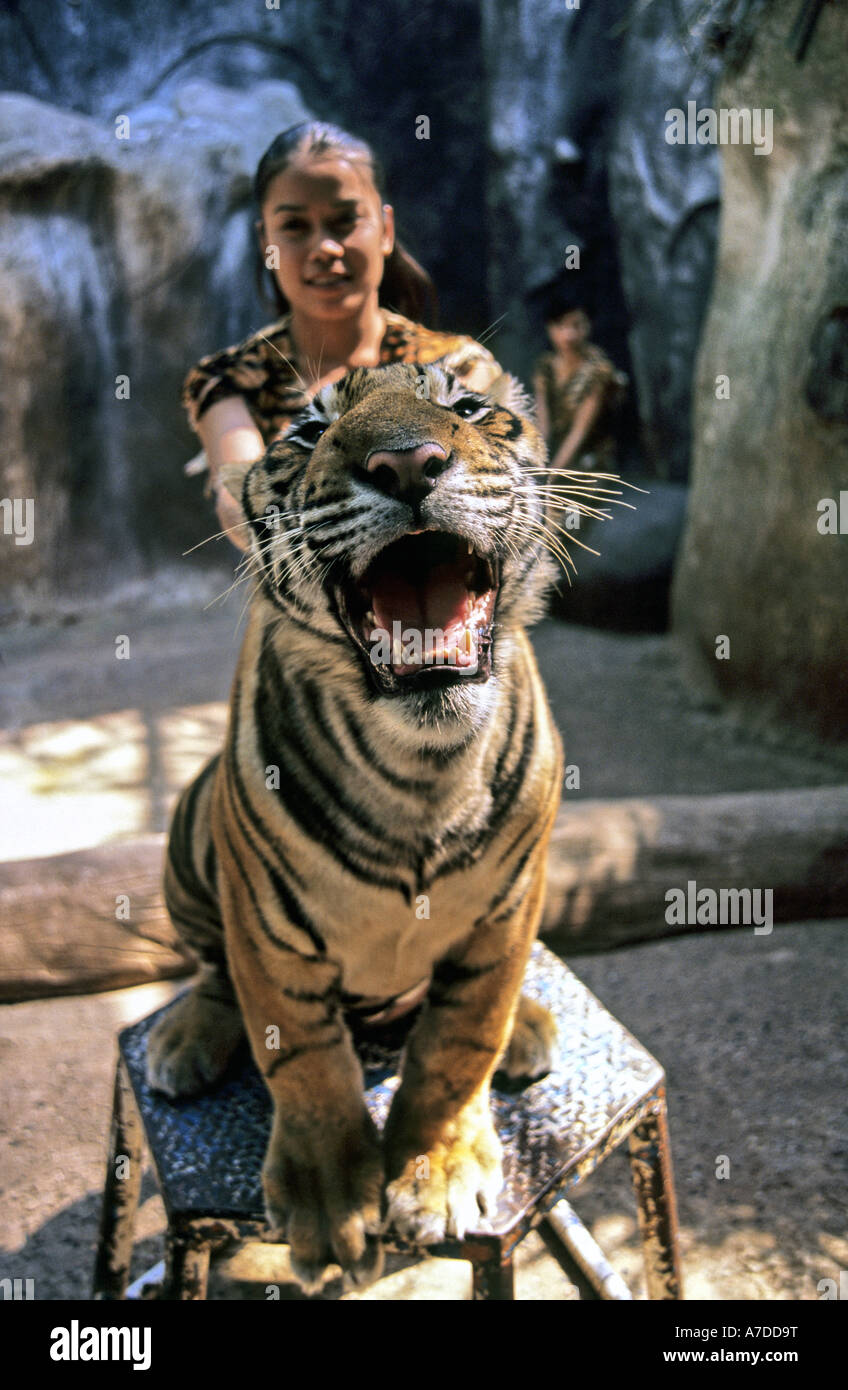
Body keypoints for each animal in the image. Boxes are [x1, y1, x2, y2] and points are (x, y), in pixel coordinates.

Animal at [145, 358, 564, 1289]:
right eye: (309, 431)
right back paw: (184, 1041)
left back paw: (530, 1028)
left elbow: (458, 1044)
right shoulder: (268, 930)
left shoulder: (509, 910)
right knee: (211, 972)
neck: (424, 766)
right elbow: (305, 1062)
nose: (408, 463)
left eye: (467, 407)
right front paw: (329, 1202)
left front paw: (435, 1170)